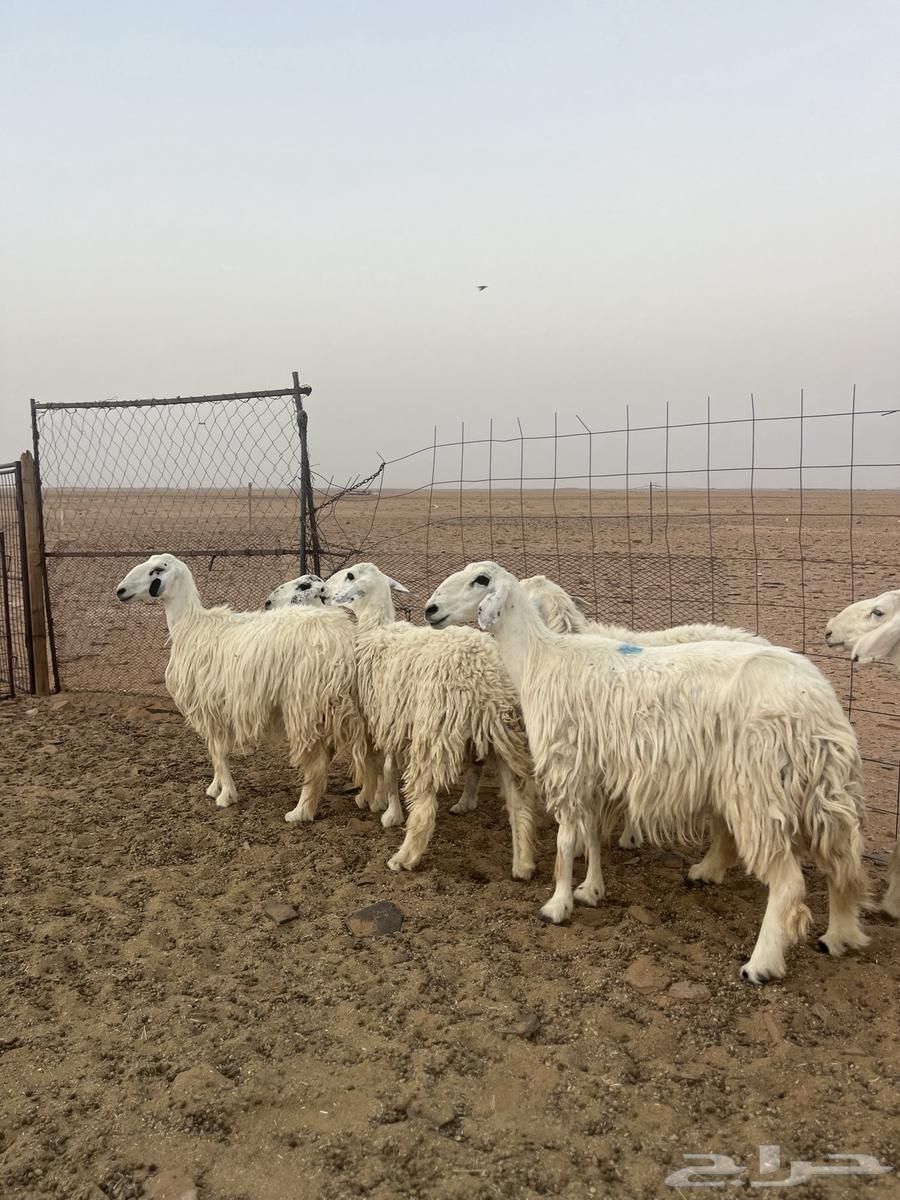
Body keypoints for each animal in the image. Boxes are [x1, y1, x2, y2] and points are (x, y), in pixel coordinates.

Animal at [115, 554, 371, 821]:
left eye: (156, 570)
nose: (120, 591)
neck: (190, 625)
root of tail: (343, 641)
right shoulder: (217, 707)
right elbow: (214, 751)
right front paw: (214, 787)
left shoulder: (209, 705)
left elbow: (218, 752)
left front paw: (226, 795)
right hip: (331, 705)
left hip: (303, 704)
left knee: (316, 762)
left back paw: (300, 811)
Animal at [323, 561, 537, 879]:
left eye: (350, 576)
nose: (323, 590)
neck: (376, 629)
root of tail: (484, 677)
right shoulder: (399, 721)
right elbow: (389, 768)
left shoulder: (389, 720)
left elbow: (387, 769)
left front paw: (387, 812)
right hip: (506, 735)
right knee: (520, 800)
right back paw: (522, 864)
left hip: (434, 733)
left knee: (425, 806)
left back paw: (404, 857)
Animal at [425, 561, 870, 983]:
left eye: (481, 580)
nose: (430, 610)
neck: (541, 657)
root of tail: (817, 700)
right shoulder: (597, 770)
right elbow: (591, 833)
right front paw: (591, 890)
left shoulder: (567, 761)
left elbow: (566, 841)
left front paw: (556, 905)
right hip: (821, 789)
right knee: (843, 862)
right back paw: (839, 934)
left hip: (758, 788)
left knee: (788, 882)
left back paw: (761, 964)